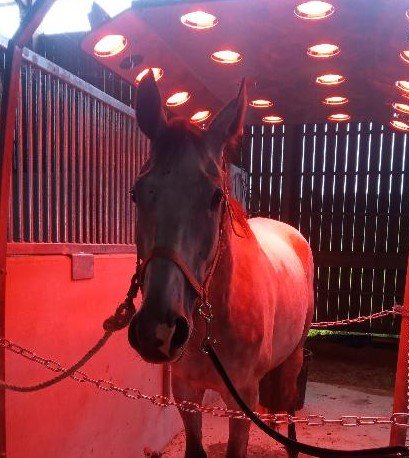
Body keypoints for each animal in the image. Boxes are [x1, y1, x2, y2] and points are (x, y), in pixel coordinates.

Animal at [127, 71, 314, 458]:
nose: (158, 330)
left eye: (216, 196)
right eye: (136, 193)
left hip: (294, 358)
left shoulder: (241, 401)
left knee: (288, 408)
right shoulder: (186, 393)